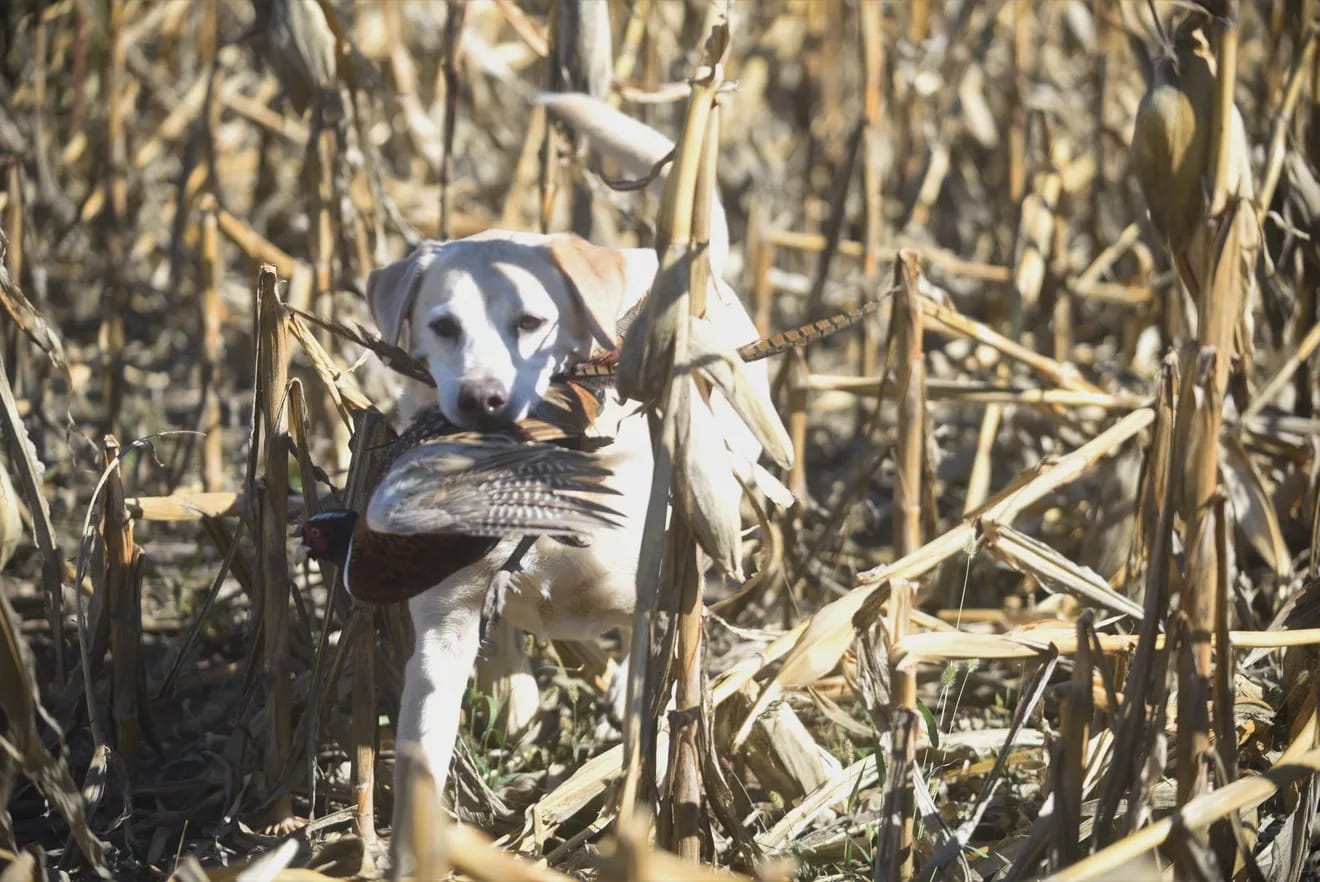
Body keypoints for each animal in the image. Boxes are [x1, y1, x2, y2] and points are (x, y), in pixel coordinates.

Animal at [364, 93, 781, 839]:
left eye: (531, 322)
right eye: (443, 326)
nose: (483, 400)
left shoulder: (650, 593)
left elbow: (650, 698)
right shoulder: (442, 625)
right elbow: (424, 742)